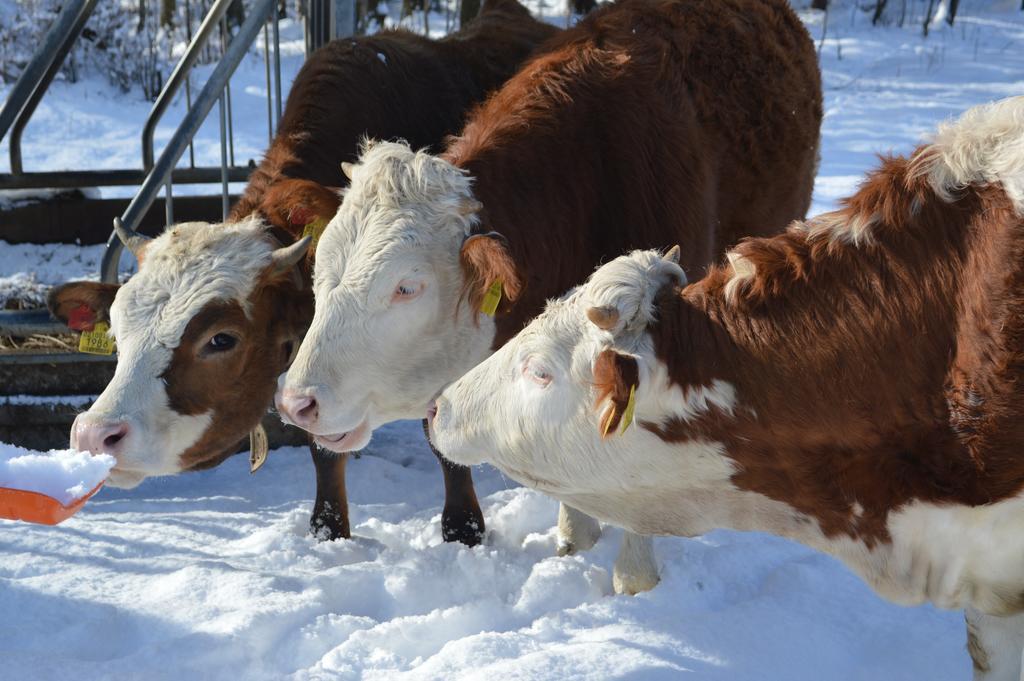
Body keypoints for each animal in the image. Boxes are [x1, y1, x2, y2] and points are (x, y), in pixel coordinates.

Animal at [44, 0, 557, 544]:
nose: (95, 434)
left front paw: (463, 529)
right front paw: (328, 529)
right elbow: (321, 441)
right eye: (117, 331)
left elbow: (438, 425)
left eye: (221, 339)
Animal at [280, 0, 823, 593]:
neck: (587, 179)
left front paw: (634, 581)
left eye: (406, 287)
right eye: (319, 274)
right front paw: (571, 542)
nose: (296, 403)